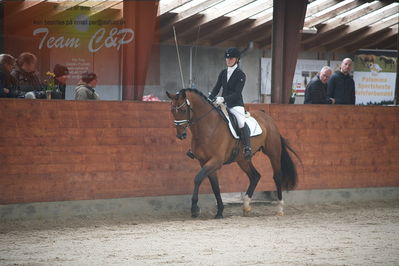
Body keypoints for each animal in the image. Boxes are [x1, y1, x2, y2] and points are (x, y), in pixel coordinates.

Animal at [166, 89, 300, 218]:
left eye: (183, 110)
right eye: (172, 111)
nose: (181, 135)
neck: (209, 127)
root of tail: (267, 117)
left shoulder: (216, 161)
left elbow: (198, 178)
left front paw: (194, 209)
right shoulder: (205, 162)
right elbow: (215, 186)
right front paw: (220, 211)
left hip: (273, 153)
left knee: (277, 176)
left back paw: (279, 208)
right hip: (243, 159)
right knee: (255, 176)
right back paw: (246, 206)